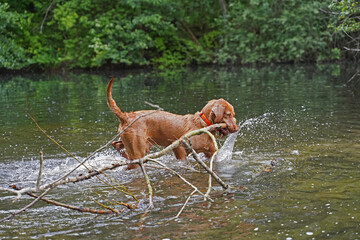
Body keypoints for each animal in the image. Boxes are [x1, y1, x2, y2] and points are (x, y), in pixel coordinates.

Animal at [105, 77, 238, 169]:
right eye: (228, 114)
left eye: (233, 114)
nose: (236, 128)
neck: (204, 124)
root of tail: (126, 116)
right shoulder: (179, 146)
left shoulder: (211, 153)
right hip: (138, 151)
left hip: (131, 142)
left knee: (116, 144)